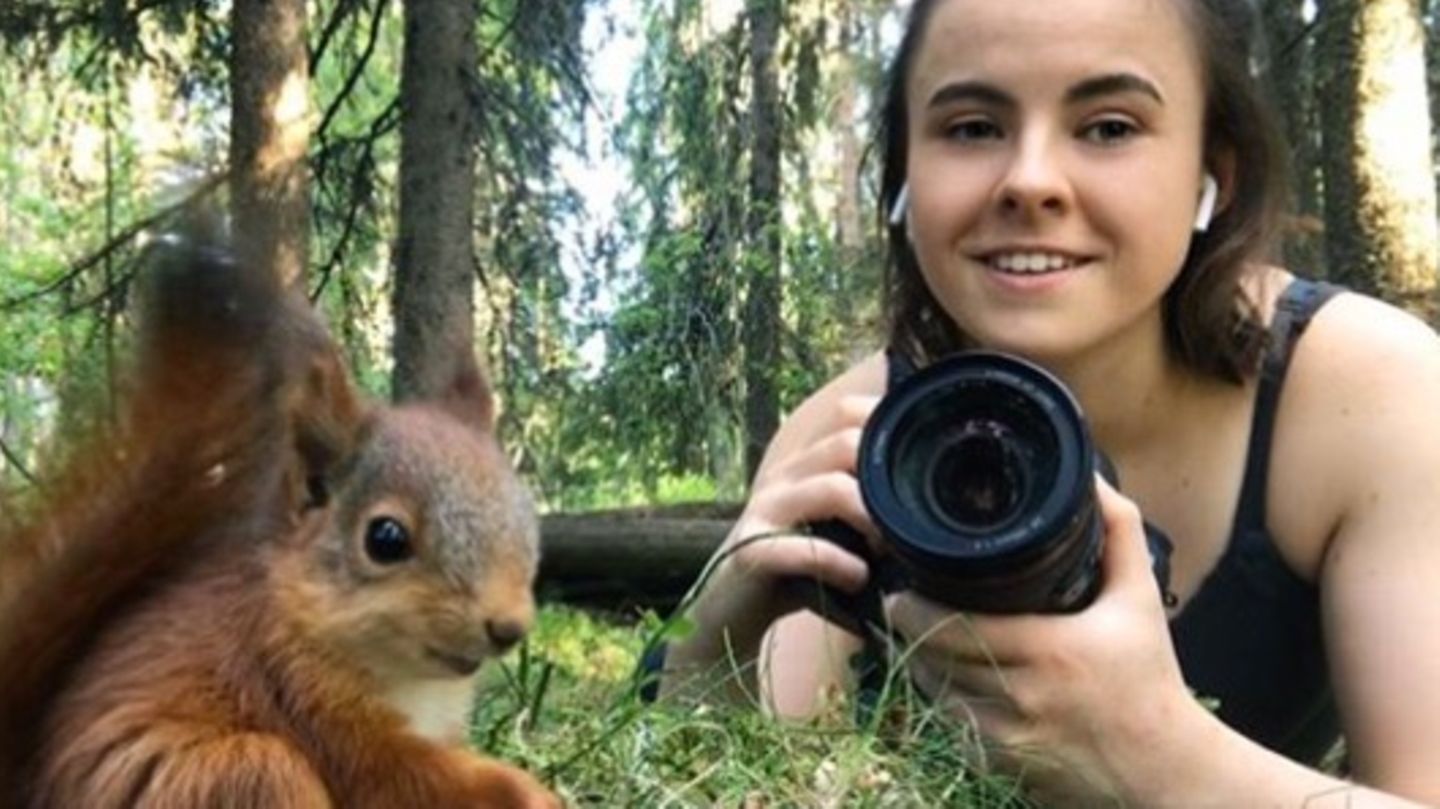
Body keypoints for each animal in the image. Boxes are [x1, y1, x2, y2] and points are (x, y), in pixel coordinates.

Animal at [0, 236, 558, 800]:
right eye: (385, 539)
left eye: (525, 519)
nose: (509, 628)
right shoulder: (301, 691)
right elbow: (402, 778)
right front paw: (527, 791)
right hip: (243, 774)